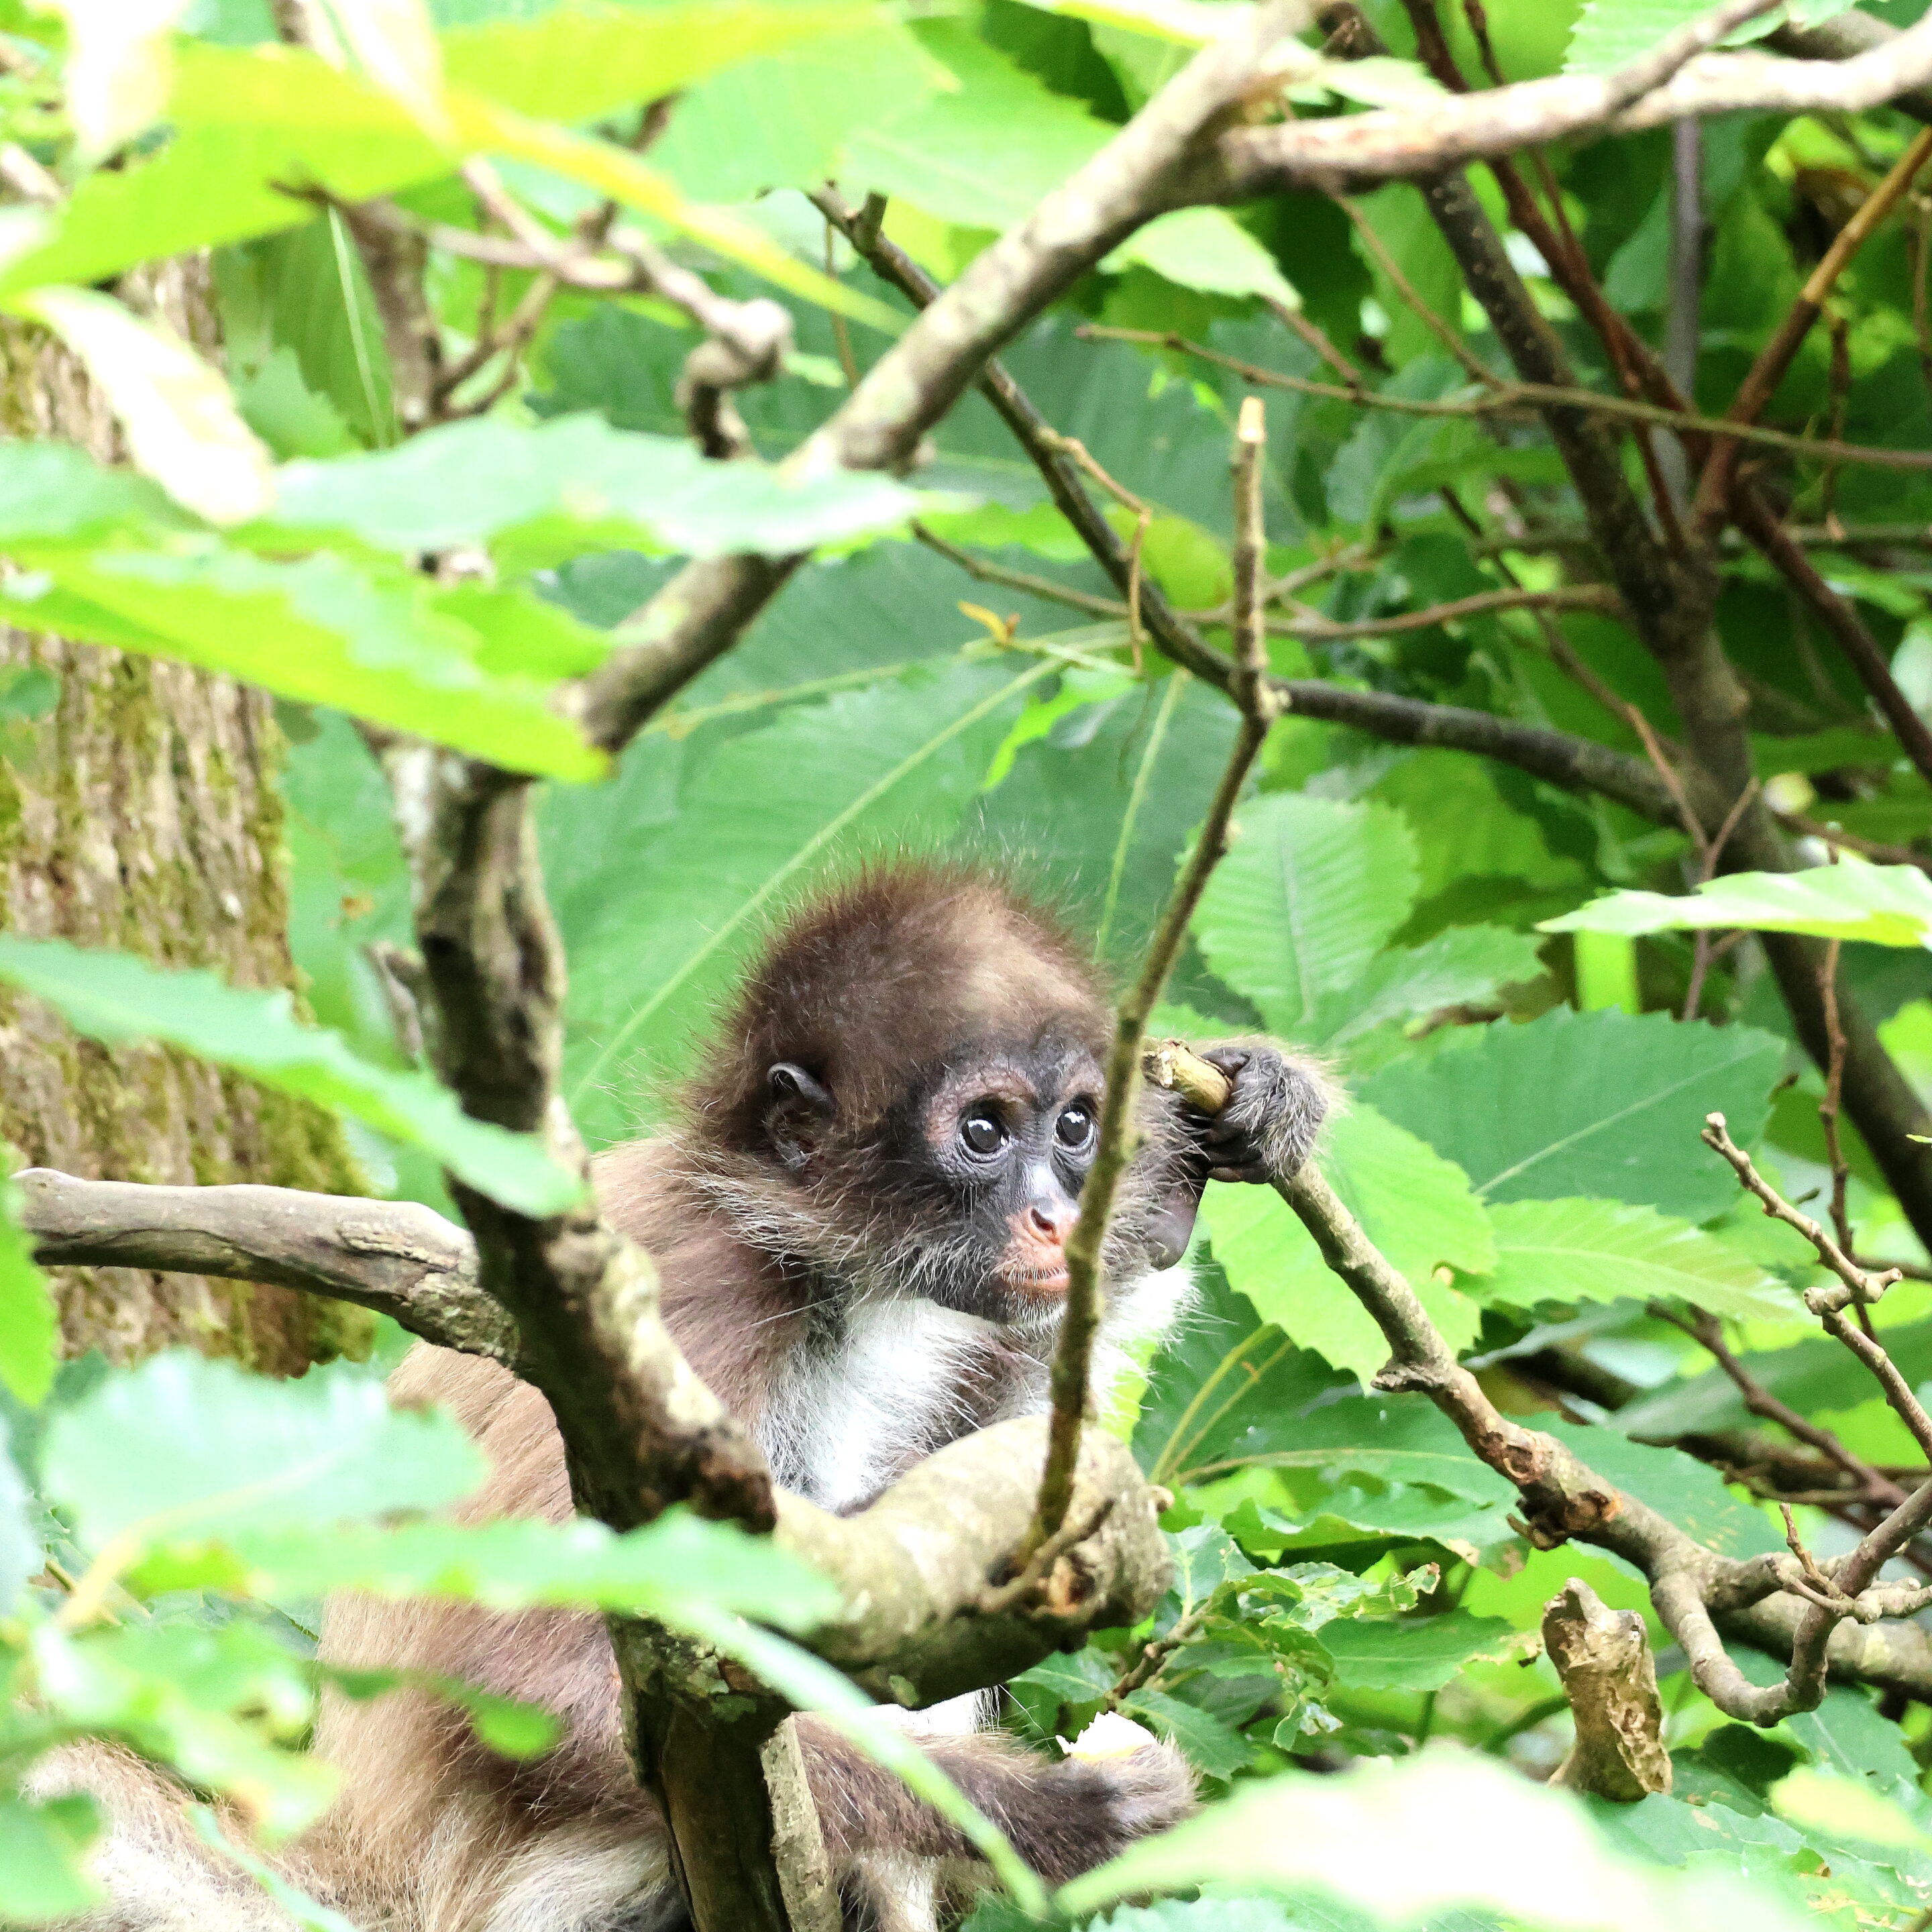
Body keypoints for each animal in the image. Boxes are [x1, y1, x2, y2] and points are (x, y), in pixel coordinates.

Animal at [47, 861, 1328, 1932]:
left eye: (1072, 1127)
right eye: (982, 1131)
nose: (1059, 1217)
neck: (807, 1262)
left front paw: (1217, 1141)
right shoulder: (689, 1302)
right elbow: (522, 1670)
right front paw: (1059, 1822)